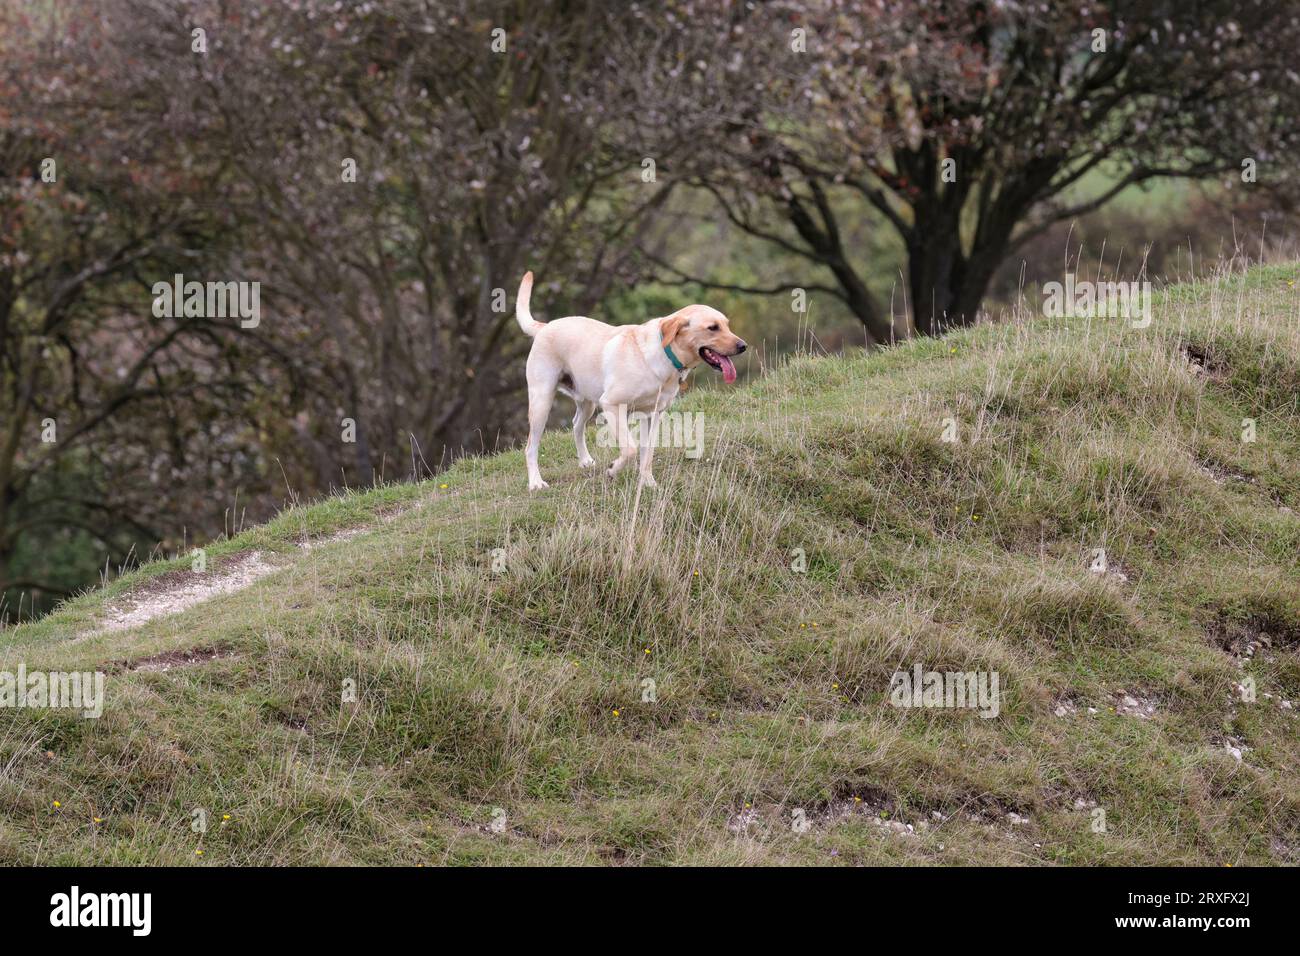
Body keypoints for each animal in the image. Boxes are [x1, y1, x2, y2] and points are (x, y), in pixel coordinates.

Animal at [512, 273, 748, 489]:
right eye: (712, 327)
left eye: (727, 325)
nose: (743, 346)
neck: (665, 356)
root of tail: (545, 326)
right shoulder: (612, 405)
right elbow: (630, 449)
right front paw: (613, 470)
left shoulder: (652, 415)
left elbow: (647, 453)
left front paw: (648, 482)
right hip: (542, 401)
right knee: (531, 446)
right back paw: (536, 482)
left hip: (587, 402)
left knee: (577, 425)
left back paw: (585, 460)